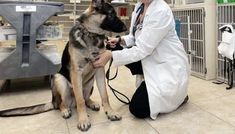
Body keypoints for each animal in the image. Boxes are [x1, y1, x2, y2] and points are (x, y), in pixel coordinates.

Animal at [0, 0, 126, 131]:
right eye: (111, 14)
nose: (126, 28)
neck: (91, 34)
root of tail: (53, 101)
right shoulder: (76, 72)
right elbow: (80, 100)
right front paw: (83, 120)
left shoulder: (99, 69)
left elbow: (105, 95)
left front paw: (110, 112)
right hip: (60, 80)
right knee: (64, 103)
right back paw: (65, 110)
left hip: (90, 83)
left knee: (85, 98)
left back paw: (91, 103)